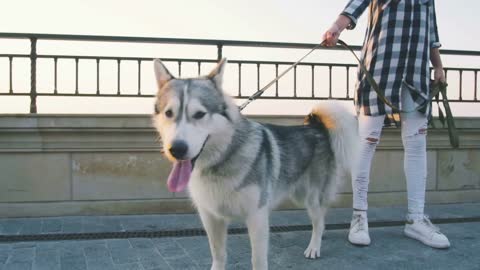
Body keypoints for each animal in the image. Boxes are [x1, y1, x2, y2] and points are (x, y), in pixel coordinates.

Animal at [152, 59, 358, 270]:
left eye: (199, 114)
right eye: (169, 113)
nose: (176, 149)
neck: (222, 161)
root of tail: (317, 127)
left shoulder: (257, 216)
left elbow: (257, 260)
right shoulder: (211, 217)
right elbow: (218, 254)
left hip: (310, 196)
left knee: (320, 221)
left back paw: (314, 247)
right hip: (299, 194)